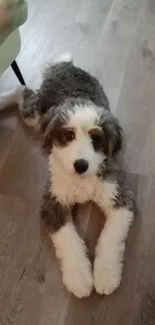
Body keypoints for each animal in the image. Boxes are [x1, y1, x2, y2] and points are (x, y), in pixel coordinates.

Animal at [0, 52, 136, 296]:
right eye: (68, 135)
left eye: (96, 139)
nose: (81, 165)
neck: (80, 180)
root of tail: (64, 66)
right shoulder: (53, 202)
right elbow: (69, 240)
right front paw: (80, 278)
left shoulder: (119, 197)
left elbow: (111, 237)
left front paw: (106, 275)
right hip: (37, 115)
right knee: (23, 92)